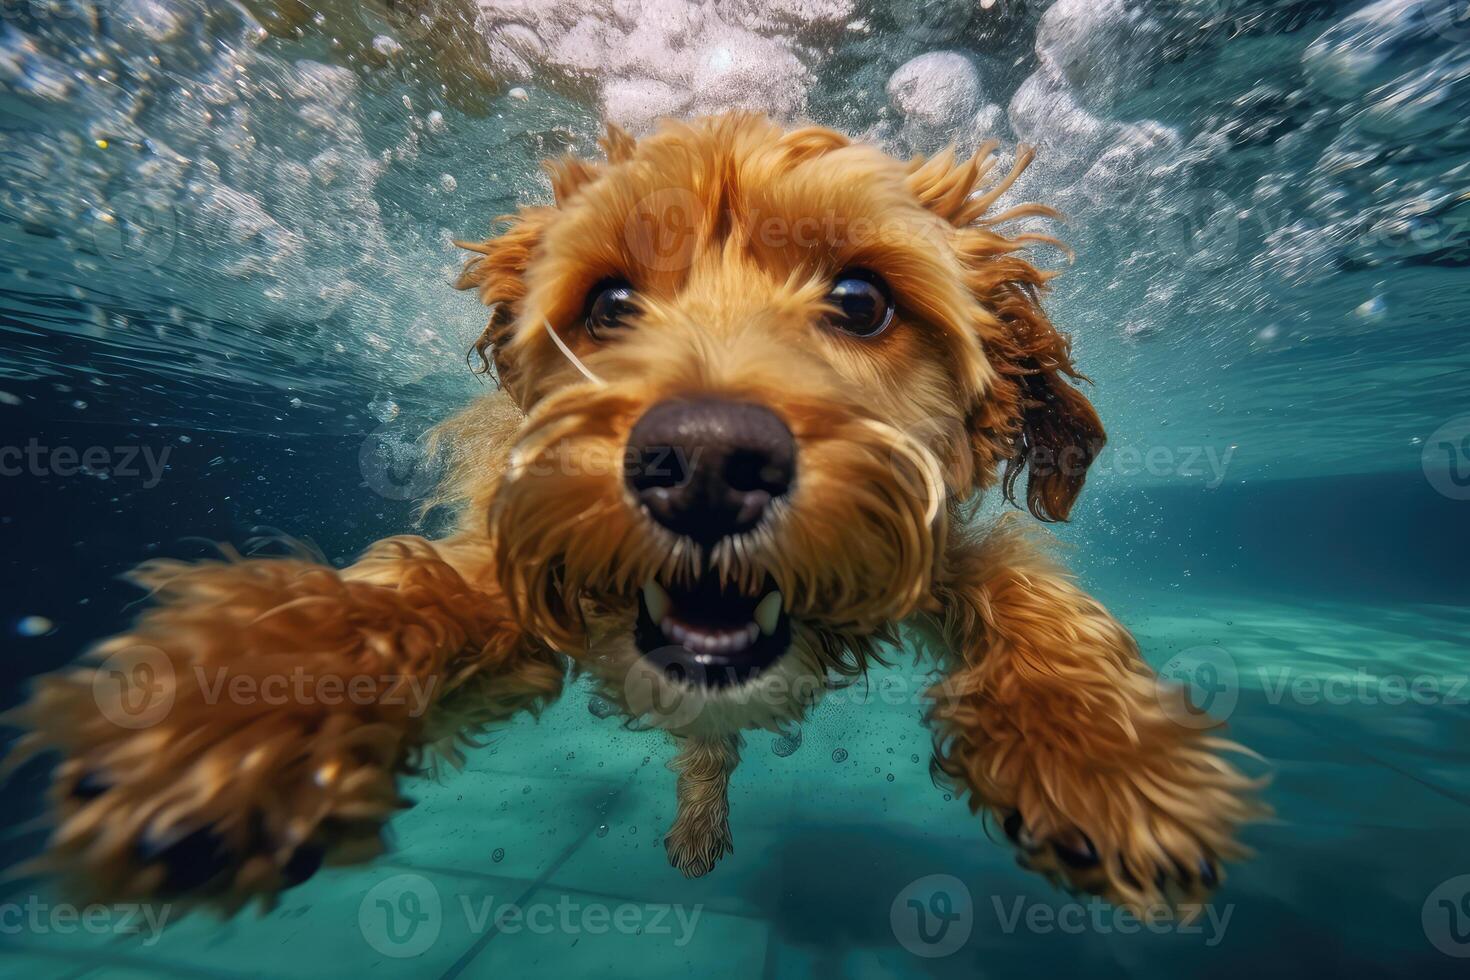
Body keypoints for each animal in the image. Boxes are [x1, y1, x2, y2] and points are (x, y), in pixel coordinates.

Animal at [5, 113, 1258, 922]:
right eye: (608, 303)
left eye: (861, 300)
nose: (703, 461)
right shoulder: (529, 558)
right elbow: (426, 587)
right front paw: (237, 703)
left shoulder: (936, 539)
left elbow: (1026, 590)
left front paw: (1107, 754)